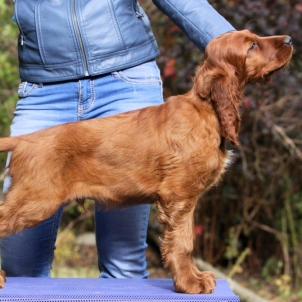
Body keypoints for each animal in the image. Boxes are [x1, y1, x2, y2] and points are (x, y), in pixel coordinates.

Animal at [0, 30, 292, 292]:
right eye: (252, 45)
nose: (289, 40)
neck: (205, 109)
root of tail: (24, 140)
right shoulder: (179, 196)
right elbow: (183, 243)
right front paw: (190, 284)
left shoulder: (184, 199)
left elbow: (186, 241)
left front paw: (195, 278)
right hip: (35, 200)